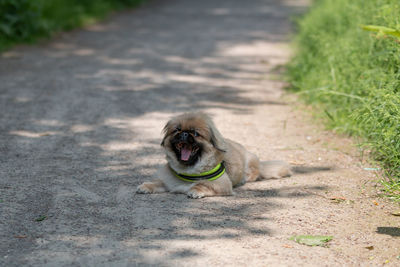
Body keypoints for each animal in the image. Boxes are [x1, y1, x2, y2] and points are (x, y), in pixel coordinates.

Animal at [137, 112, 290, 198]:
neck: (188, 170)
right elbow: (157, 182)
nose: (184, 133)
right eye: (177, 130)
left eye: (195, 133)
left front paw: (195, 190)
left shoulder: (223, 185)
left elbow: (204, 186)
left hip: (251, 162)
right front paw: (146, 186)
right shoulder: (168, 181)